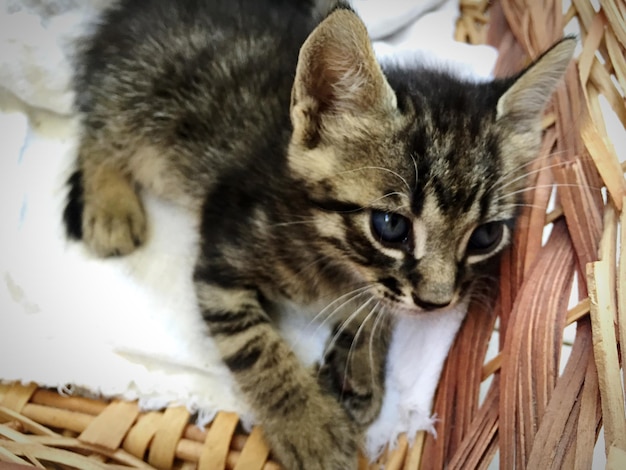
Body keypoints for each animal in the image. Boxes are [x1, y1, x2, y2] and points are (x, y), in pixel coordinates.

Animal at [64, 0, 576, 466]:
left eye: (486, 237)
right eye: (391, 227)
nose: (437, 303)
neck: (325, 245)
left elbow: (380, 304)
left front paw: (358, 360)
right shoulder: (221, 257)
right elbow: (254, 346)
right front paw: (310, 428)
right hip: (138, 106)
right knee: (97, 128)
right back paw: (110, 208)